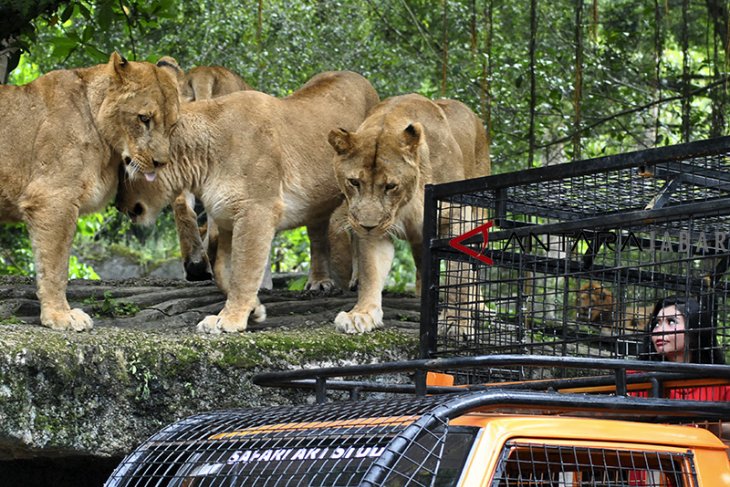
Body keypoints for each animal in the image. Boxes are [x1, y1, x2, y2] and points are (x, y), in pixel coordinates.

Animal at [0, 52, 180, 332]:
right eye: (143, 119)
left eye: (172, 124)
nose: (160, 163)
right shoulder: (52, 198)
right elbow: (55, 266)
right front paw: (59, 316)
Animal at [116, 70, 378, 334]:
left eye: (126, 163)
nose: (118, 205)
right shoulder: (226, 218)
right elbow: (224, 271)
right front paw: (254, 309)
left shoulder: (257, 211)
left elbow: (244, 270)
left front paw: (230, 319)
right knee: (317, 234)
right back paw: (318, 282)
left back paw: (355, 280)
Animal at [328, 93, 490, 334]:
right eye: (354, 182)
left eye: (390, 186)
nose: (367, 226)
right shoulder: (376, 232)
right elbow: (370, 270)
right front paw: (361, 314)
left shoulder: (456, 215)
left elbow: (459, 269)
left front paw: (458, 322)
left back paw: (479, 305)